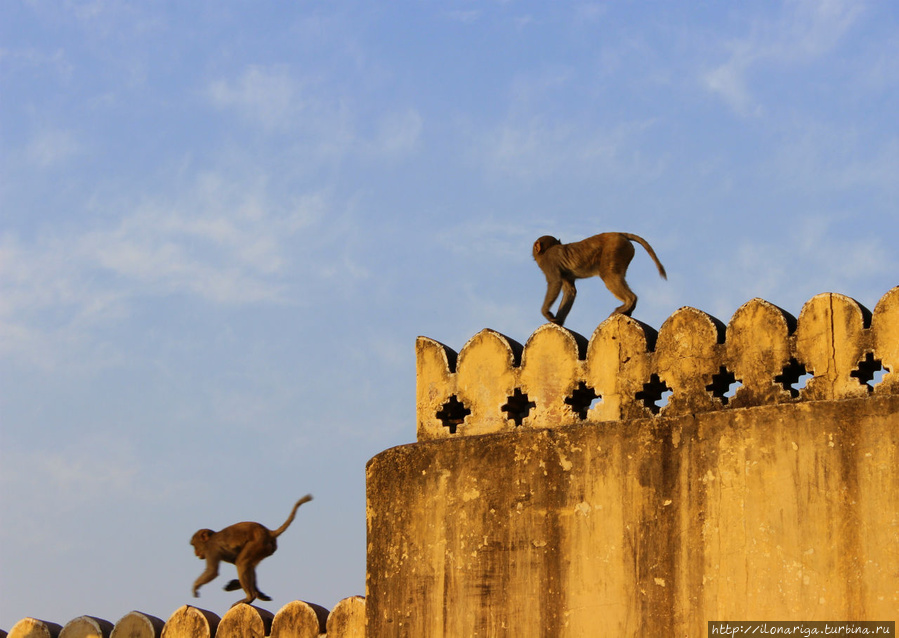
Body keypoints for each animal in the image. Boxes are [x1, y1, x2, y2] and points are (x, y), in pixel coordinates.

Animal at [536, 232, 668, 328]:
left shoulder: (549, 262)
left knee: (607, 274)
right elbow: (570, 291)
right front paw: (558, 321)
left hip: (614, 248)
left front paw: (546, 312)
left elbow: (555, 283)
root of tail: (618, 233)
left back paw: (629, 301)